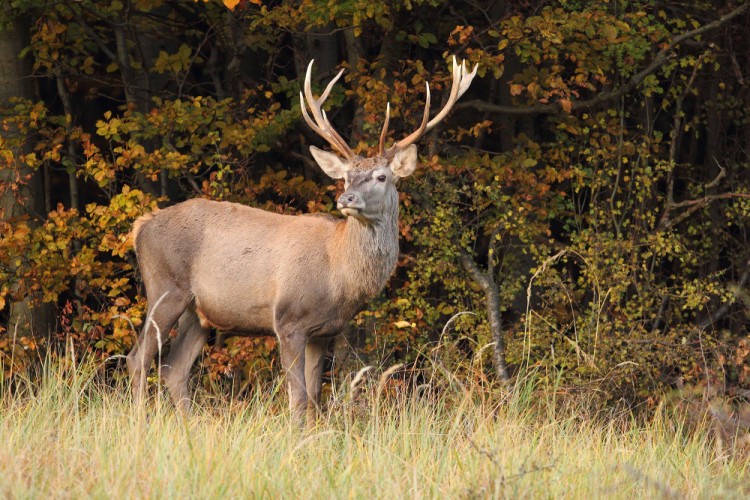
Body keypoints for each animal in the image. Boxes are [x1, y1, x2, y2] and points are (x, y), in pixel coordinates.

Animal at [126, 55, 478, 422]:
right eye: (346, 177)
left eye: (382, 176)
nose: (346, 199)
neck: (338, 274)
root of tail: (141, 226)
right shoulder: (288, 320)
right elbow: (298, 399)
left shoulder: (323, 332)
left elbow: (314, 399)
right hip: (165, 288)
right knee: (138, 358)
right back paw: (140, 419)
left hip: (200, 312)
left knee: (173, 368)